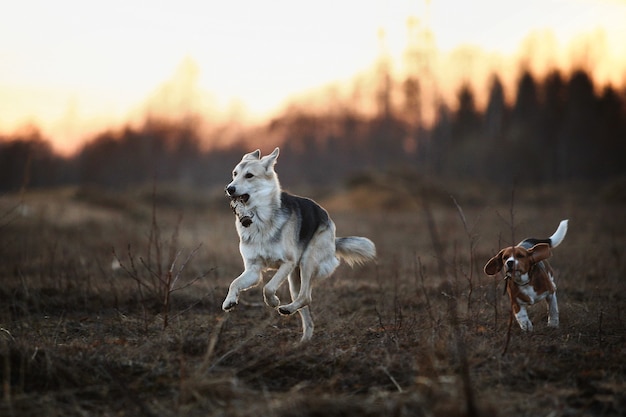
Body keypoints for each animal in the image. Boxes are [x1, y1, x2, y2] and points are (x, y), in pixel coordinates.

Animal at [222, 148, 372, 340]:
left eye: (249, 175)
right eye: (234, 174)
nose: (229, 188)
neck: (260, 219)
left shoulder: (287, 262)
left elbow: (268, 288)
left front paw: (273, 301)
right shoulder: (253, 270)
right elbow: (234, 283)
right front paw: (229, 301)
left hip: (306, 262)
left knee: (306, 296)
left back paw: (286, 308)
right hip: (294, 279)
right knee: (306, 312)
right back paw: (304, 341)